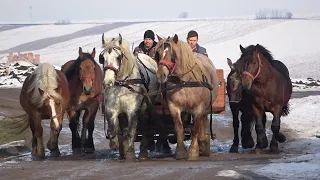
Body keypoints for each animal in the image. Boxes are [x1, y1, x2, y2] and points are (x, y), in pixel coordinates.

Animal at [99, 33, 161, 161]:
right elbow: (113, 128)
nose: (108, 82)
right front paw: (115, 144)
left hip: (144, 107)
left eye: (118, 57)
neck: (123, 85)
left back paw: (143, 152)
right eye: (102, 58)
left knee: (144, 126)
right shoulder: (112, 109)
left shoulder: (132, 110)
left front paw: (130, 150)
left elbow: (131, 131)